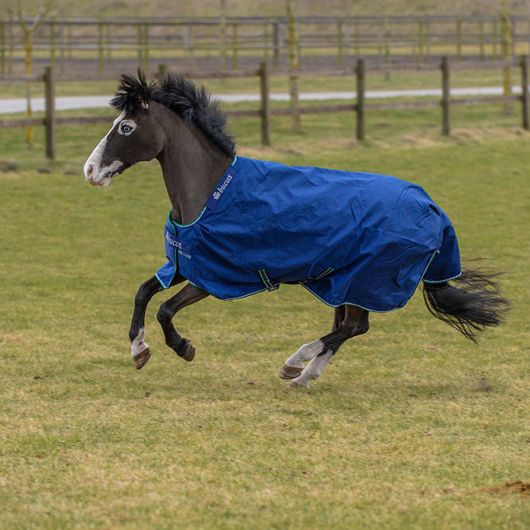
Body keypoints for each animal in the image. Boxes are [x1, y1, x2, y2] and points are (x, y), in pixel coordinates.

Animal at [82, 70, 508, 386]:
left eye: (125, 127)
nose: (89, 170)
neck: (212, 192)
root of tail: (433, 208)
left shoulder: (215, 277)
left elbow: (166, 309)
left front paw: (183, 347)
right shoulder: (185, 263)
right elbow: (143, 293)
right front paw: (139, 351)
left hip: (367, 278)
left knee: (354, 326)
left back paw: (295, 362)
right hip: (345, 279)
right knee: (351, 326)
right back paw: (305, 374)